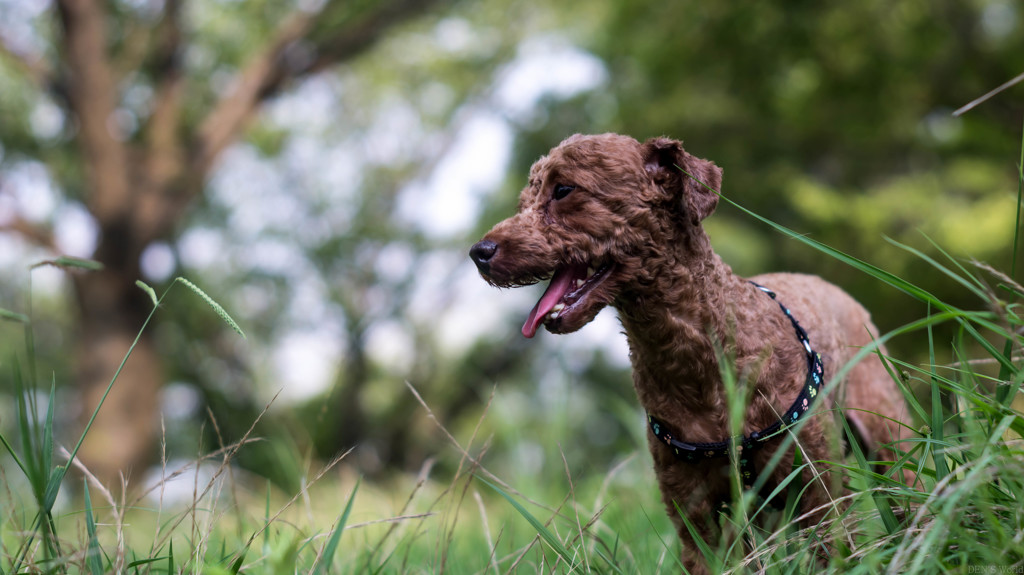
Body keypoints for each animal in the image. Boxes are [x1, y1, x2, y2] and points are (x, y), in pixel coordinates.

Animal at [468, 133, 913, 568]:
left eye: (563, 190)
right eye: (524, 201)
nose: (479, 252)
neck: (700, 353)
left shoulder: (819, 491)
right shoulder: (693, 512)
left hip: (889, 438)